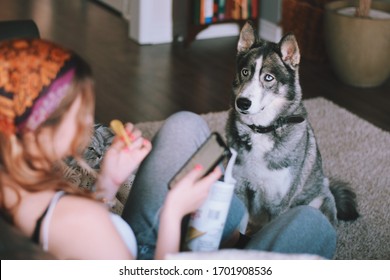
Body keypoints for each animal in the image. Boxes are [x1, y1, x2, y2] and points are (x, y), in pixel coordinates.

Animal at [225, 21, 360, 233]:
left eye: (268, 77)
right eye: (245, 72)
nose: (243, 103)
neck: (261, 130)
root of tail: (328, 186)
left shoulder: (278, 204)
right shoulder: (239, 191)